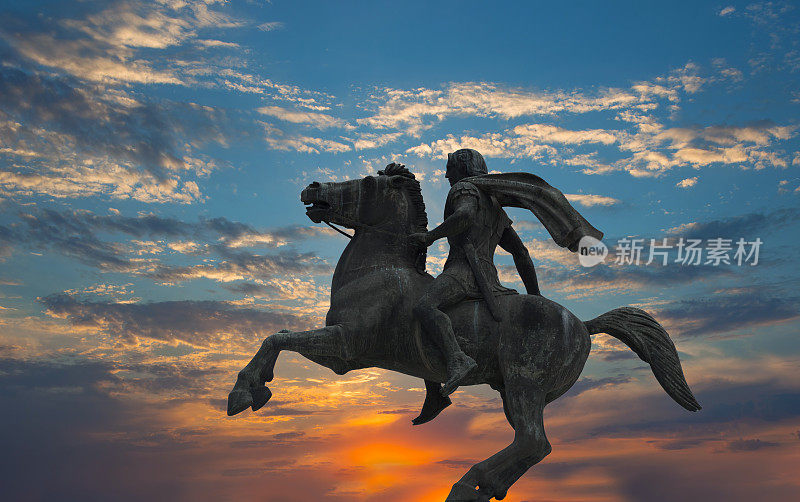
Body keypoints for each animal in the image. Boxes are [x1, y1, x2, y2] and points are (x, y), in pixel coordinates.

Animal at [227, 166, 700, 502]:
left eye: (367, 182)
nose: (312, 188)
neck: (378, 270)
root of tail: (582, 326)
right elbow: (279, 335)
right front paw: (252, 388)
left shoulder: (345, 350)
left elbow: (278, 338)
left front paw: (245, 392)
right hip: (512, 391)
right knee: (531, 446)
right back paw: (482, 486)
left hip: (524, 383)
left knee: (533, 442)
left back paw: (466, 485)